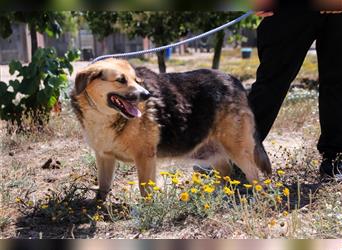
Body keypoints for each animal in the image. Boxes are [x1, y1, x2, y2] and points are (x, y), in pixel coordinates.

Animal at [71, 58, 272, 197]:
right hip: (214, 153)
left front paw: (147, 212)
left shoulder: (144, 157)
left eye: (137, 80)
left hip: (238, 149)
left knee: (255, 177)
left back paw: (260, 198)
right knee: (228, 175)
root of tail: (233, 79)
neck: (103, 116)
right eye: (121, 80)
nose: (147, 95)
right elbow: (103, 188)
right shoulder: (104, 157)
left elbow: (145, 191)